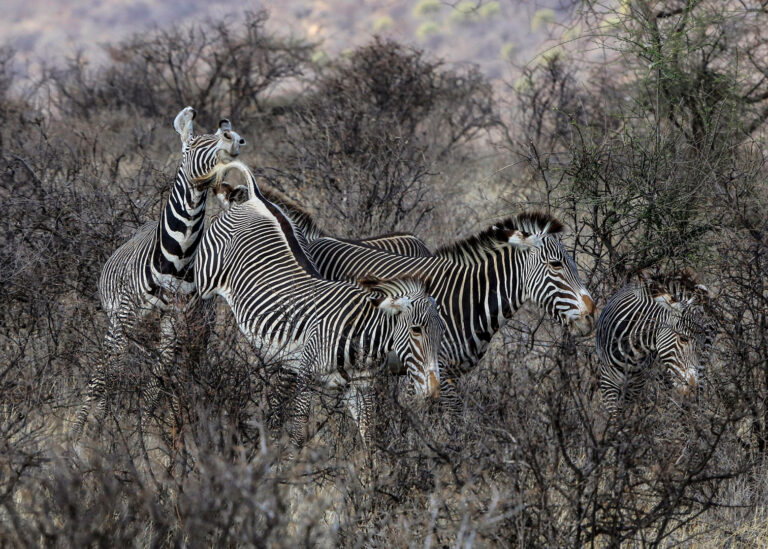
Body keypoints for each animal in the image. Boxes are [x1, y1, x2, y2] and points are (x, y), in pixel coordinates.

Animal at [72, 107, 246, 438]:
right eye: (192, 144)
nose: (234, 138)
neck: (177, 260)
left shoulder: (174, 325)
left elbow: (156, 385)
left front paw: (142, 434)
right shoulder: (126, 318)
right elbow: (109, 377)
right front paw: (91, 438)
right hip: (118, 323)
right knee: (103, 371)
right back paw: (83, 426)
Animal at [194, 160, 445, 449]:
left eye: (442, 333)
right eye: (416, 330)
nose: (434, 393)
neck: (362, 336)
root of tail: (257, 199)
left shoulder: (360, 388)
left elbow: (370, 438)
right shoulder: (304, 377)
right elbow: (297, 435)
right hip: (203, 278)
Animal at [595, 269, 712, 412]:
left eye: (703, 342)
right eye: (683, 339)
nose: (692, 389)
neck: (632, 351)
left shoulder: (637, 384)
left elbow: (625, 411)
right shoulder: (608, 381)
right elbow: (614, 415)